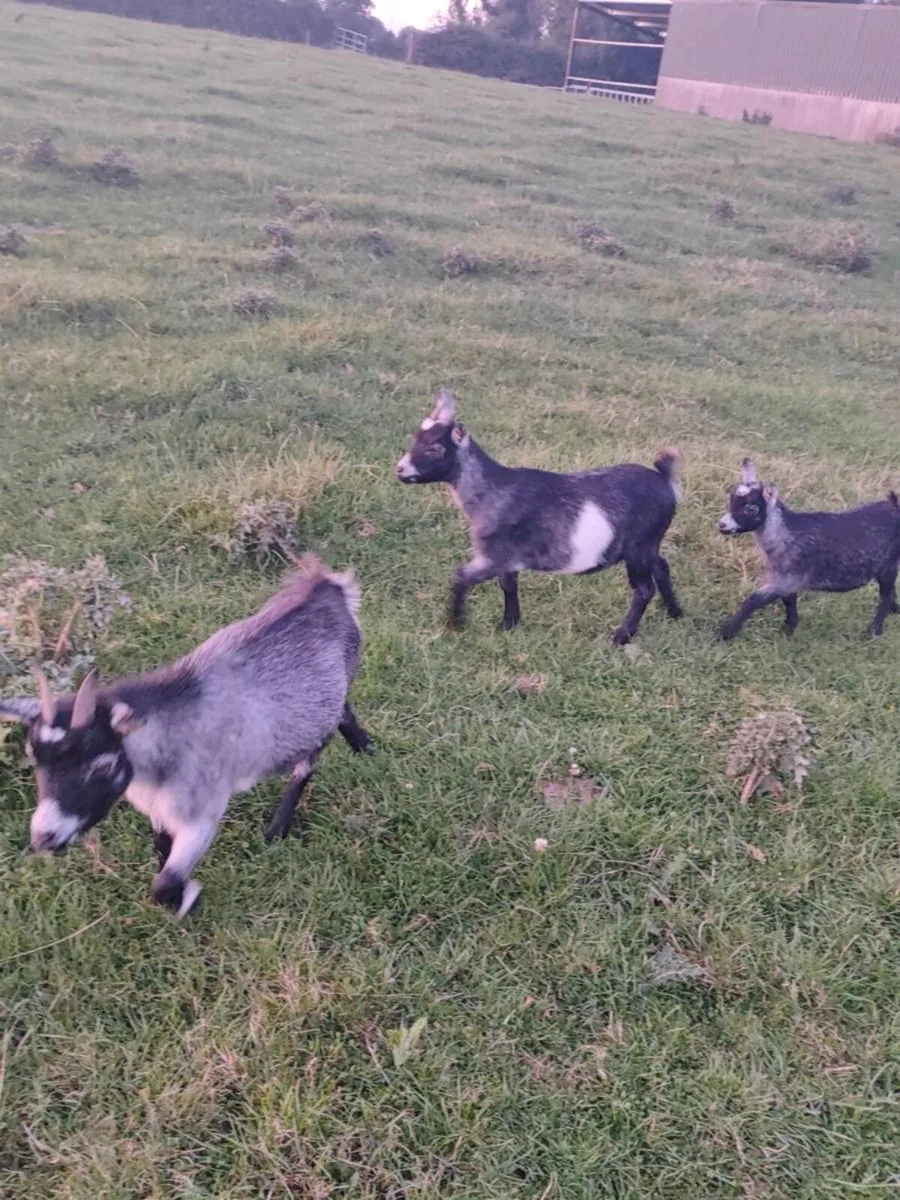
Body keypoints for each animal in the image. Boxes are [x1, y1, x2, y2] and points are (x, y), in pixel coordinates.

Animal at [0, 556, 372, 917]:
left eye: (102, 766)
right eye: (34, 759)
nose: (44, 838)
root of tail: (327, 589)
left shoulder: (201, 814)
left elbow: (164, 883)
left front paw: (187, 899)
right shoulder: (158, 808)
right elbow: (161, 849)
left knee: (310, 759)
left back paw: (279, 826)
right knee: (342, 711)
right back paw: (363, 745)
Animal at [395, 388, 683, 643]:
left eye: (435, 448)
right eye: (414, 440)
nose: (400, 469)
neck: (490, 489)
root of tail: (666, 482)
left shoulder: (493, 557)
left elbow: (460, 579)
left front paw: (455, 623)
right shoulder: (508, 560)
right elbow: (508, 585)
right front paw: (509, 624)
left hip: (639, 546)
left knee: (644, 589)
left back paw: (622, 636)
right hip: (648, 545)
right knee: (661, 566)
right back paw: (675, 612)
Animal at [718, 459, 900, 640]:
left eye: (750, 508)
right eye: (731, 500)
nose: (721, 525)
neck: (784, 534)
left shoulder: (787, 578)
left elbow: (754, 600)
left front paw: (726, 632)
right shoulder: (788, 579)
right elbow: (789, 600)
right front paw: (789, 627)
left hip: (887, 564)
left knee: (885, 597)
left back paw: (873, 631)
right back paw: (895, 609)